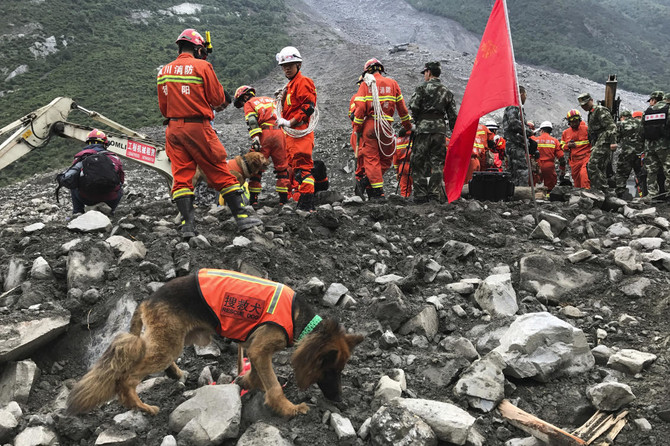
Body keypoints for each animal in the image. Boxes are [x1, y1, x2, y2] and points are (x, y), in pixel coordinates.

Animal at [65, 272, 364, 418]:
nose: (339, 400)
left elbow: (258, 376)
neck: (300, 319)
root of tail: (146, 301)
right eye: (331, 370)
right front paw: (288, 409)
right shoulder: (261, 347)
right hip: (168, 344)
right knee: (127, 377)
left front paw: (246, 382)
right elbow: (274, 385)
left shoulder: (254, 349)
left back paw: (174, 373)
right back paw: (140, 406)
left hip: (174, 338)